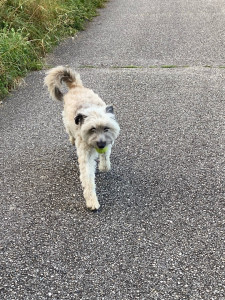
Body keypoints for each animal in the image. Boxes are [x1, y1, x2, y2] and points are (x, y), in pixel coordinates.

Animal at [43, 66, 119, 210]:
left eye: (106, 128)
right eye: (92, 129)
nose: (101, 144)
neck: (91, 109)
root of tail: (75, 87)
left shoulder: (108, 142)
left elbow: (105, 157)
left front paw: (103, 166)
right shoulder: (85, 155)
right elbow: (88, 179)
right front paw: (92, 200)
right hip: (66, 121)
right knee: (70, 133)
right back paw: (72, 140)